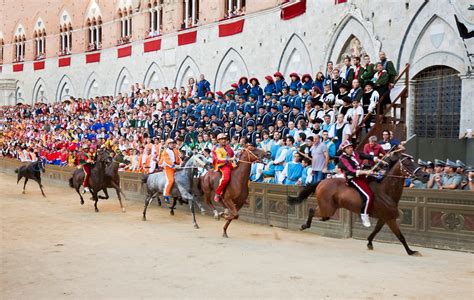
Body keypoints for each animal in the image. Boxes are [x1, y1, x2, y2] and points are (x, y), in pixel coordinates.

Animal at [286, 148, 432, 255]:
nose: (426, 175)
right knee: (312, 210)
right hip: (328, 208)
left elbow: (376, 230)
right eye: (407, 163)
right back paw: (304, 226)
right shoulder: (389, 218)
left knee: (320, 214)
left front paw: (369, 243)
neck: (386, 191)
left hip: (330, 208)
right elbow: (400, 236)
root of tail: (322, 181)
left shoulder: (384, 218)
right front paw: (411, 251)